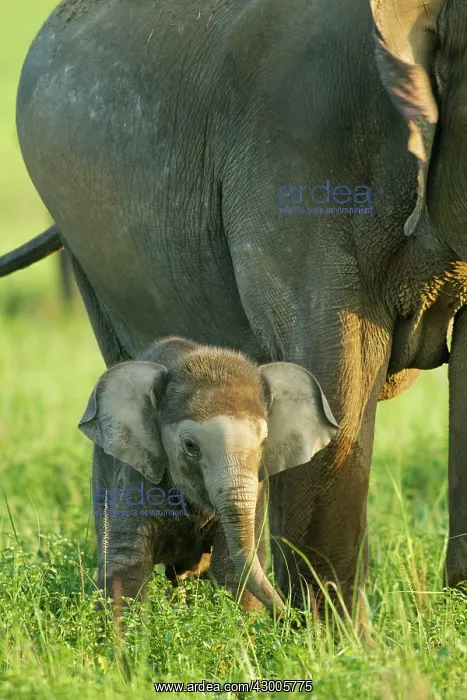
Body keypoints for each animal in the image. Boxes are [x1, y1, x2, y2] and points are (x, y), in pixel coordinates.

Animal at [77, 336, 338, 613]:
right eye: (191, 446)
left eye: (263, 443)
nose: (292, 615)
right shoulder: (137, 473)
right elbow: (128, 564)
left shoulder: (258, 487)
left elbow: (231, 567)